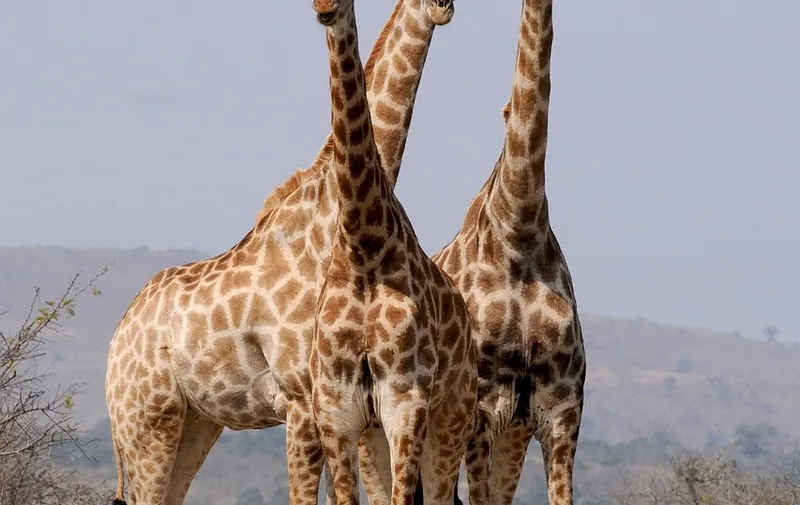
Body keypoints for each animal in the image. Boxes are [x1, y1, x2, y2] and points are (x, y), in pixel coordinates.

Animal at [103, 1, 457, 504]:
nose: (444, 9)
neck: (336, 213)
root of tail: (115, 343)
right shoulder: (304, 399)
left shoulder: (331, 404)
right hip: (148, 423)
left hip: (195, 422)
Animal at [305, 4, 477, 505]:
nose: (324, 11)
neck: (364, 244)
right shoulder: (337, 410)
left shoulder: (407, 401)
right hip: (375, 433)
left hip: (451, 418)